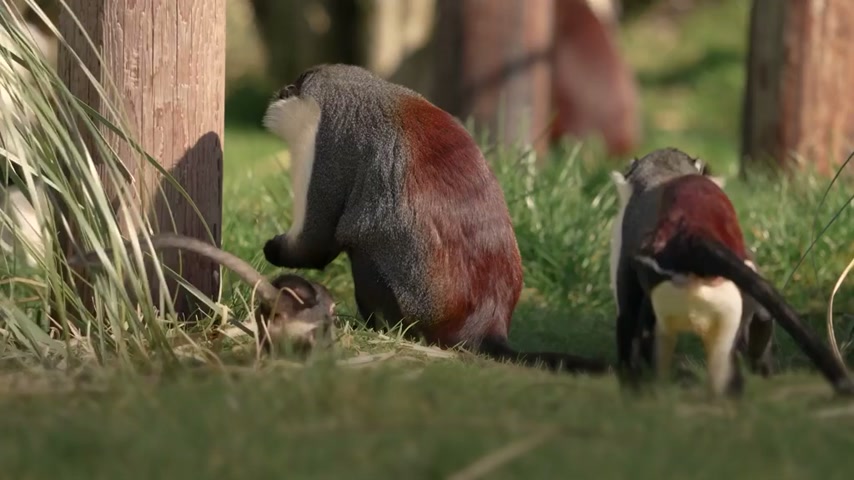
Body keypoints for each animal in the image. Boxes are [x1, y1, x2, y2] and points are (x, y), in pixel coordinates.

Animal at [260, 63, 609, 374]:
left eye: (293, 87)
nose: (280, 91)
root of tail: (488, 327)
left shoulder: (327, 145)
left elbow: (315, 245)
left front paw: (274, 249)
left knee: (362, 249)